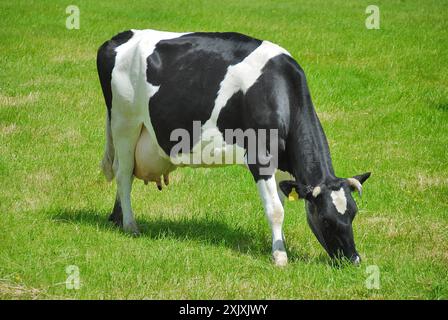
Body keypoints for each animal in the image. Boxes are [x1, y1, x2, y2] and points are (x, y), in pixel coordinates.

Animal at [97, 29, 372, 268]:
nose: (354, 259)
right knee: (123, 174)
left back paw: (117, 218)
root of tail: (120, 36)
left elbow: (281, 203)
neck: (279, 90)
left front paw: (278, 244)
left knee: (125, 172)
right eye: (326, 219)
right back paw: (130, 225)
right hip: (125, 123)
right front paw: (280, 257)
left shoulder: (283, 165)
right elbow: (275, 210)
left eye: (353, 213)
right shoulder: (260, 157)